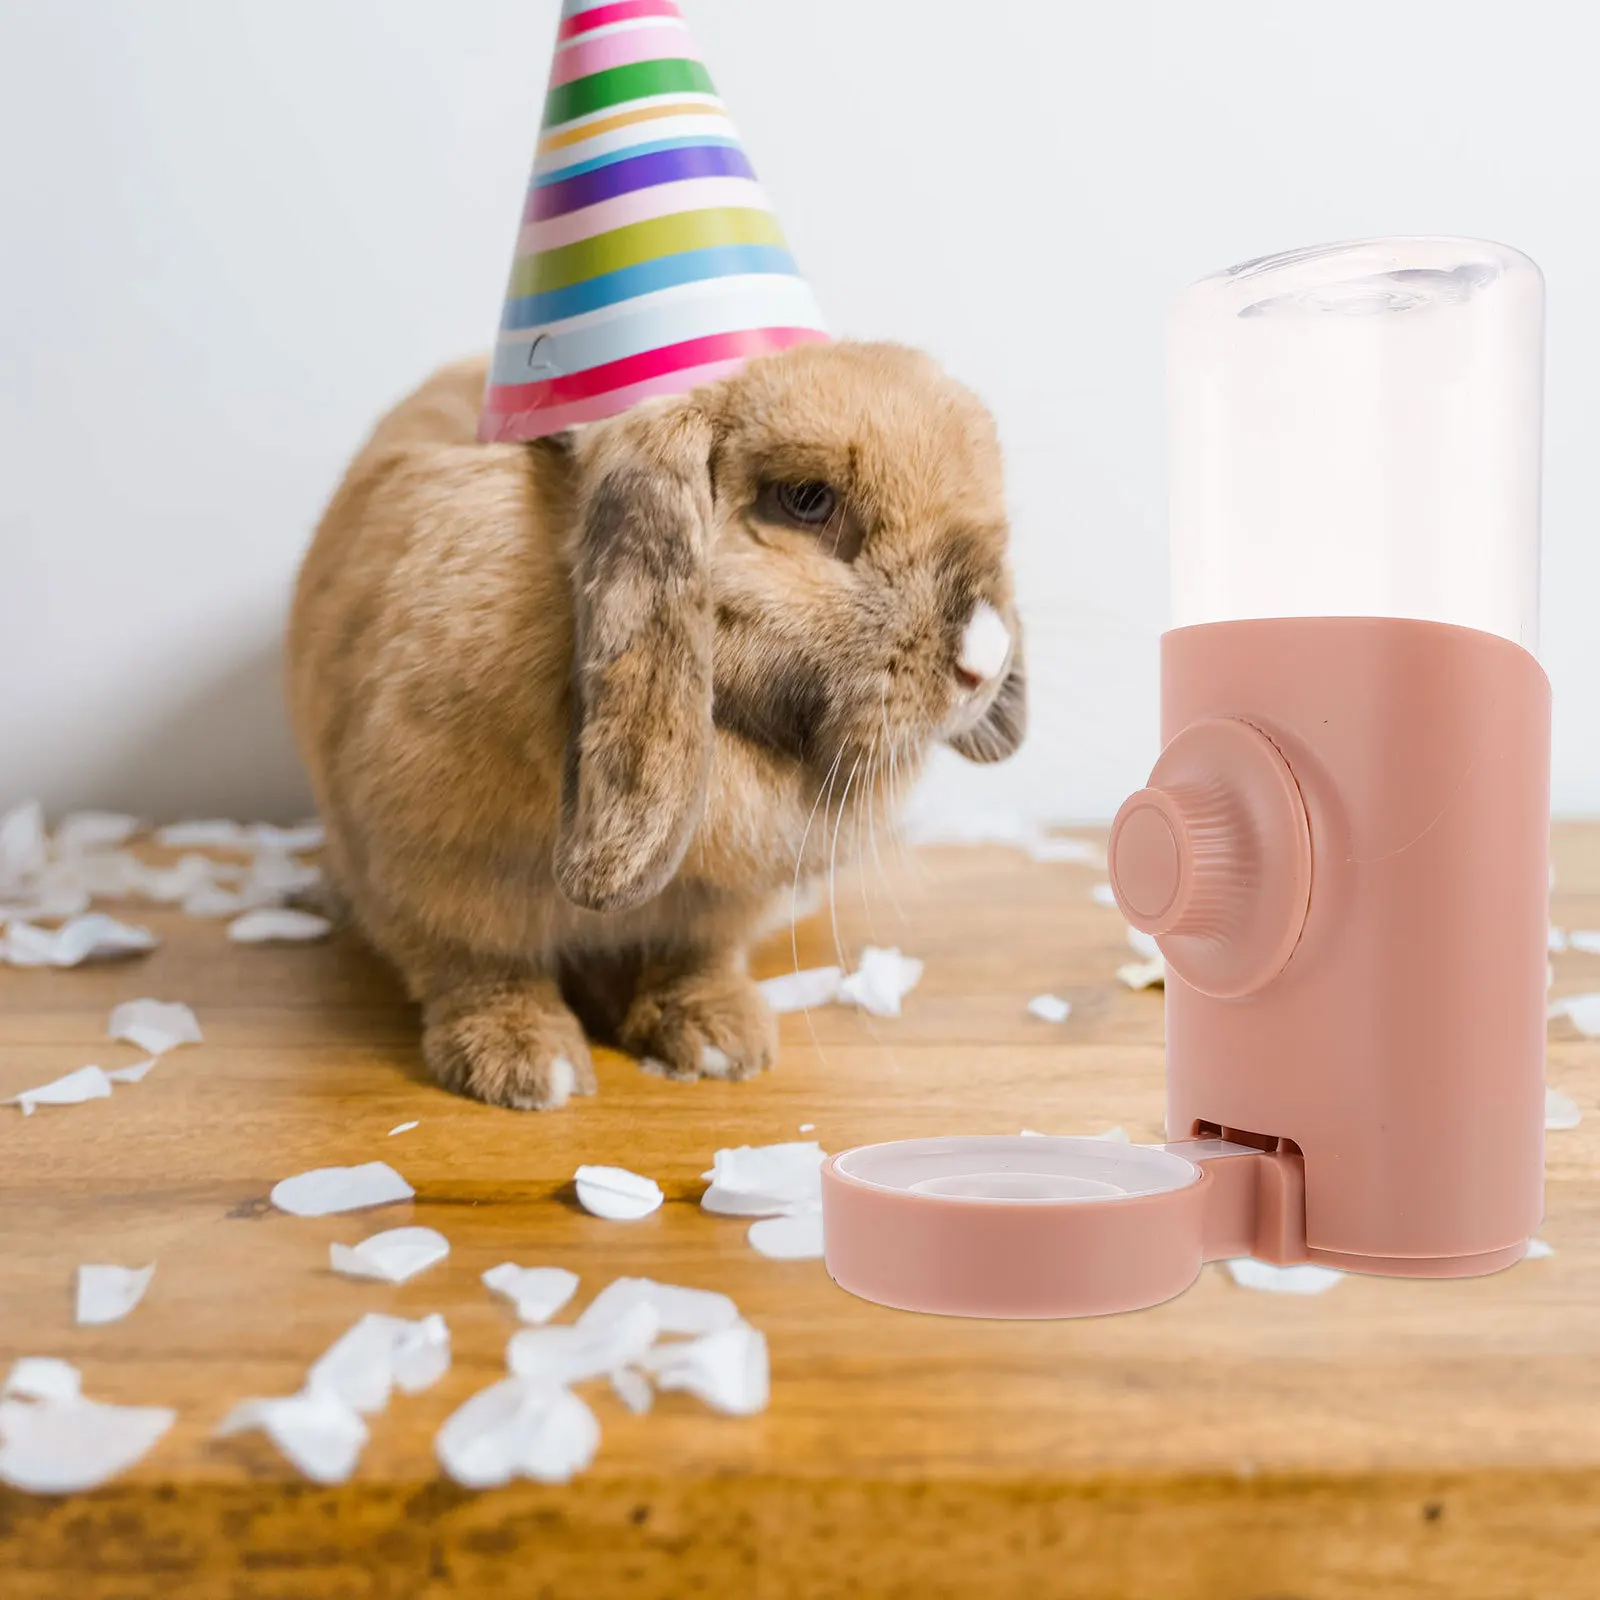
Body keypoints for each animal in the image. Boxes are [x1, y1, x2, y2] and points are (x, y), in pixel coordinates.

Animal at [286, 340, 1026, 1109]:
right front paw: (523, 1064)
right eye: (807, 499)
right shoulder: (437, 869)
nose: (986, 658)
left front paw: (719, 1040)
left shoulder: (717, 907)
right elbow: (482, 963)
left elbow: (695, 957)